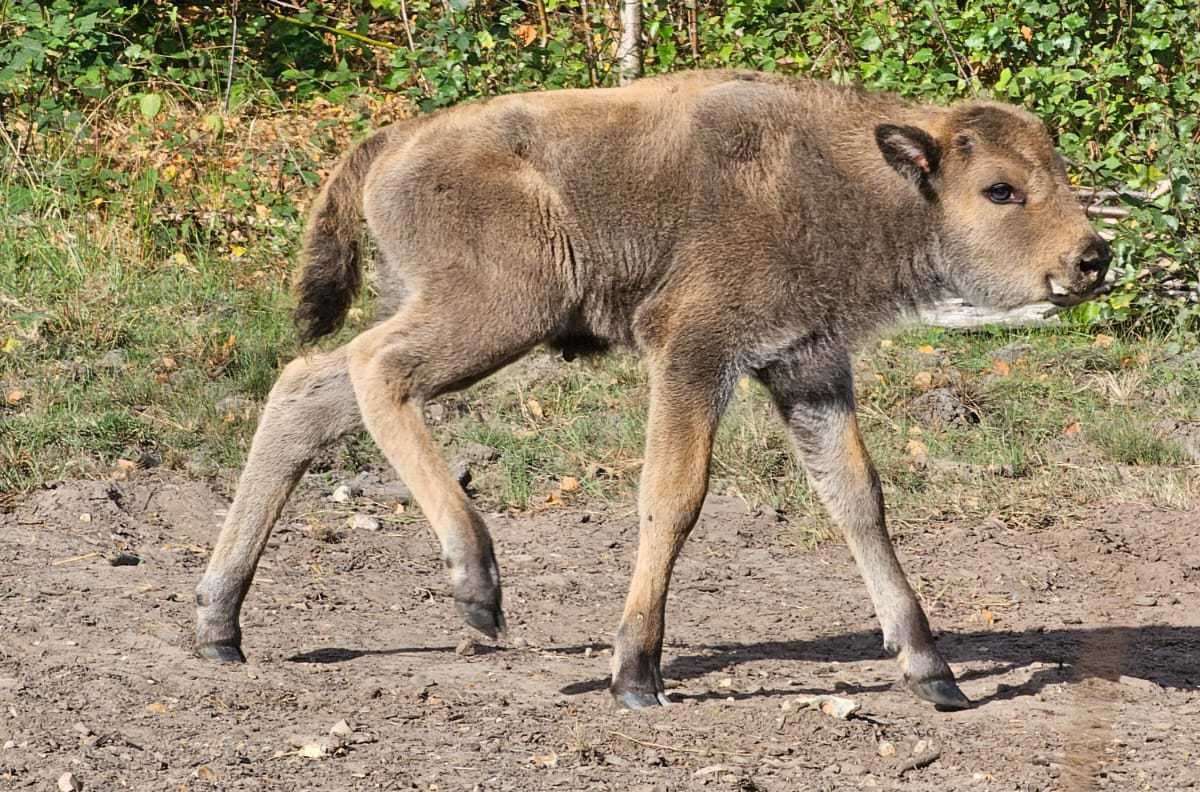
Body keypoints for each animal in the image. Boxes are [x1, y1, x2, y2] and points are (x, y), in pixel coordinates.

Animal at [194, 69, 1104, 710]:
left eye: (1058, 172)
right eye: (999, 189)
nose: (1092, 257)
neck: (844, 179)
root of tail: (397, 138)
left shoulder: (807, 365)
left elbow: (857, 501)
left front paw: (933, 670)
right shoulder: (694, 353)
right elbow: (674, 497)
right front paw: (635, 672)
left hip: (448, 310)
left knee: (307, 389)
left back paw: (219, 624)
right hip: (498, 311)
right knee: (375, 371)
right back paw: (476, 584)